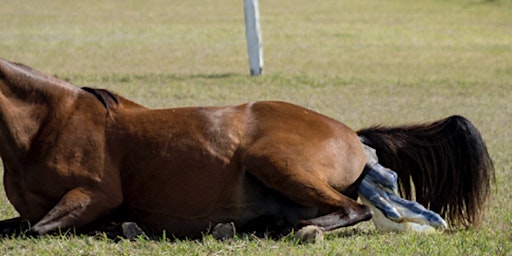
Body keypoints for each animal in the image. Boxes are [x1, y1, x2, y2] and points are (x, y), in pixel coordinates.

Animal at [0, 58, 494, 242]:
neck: (49, 123)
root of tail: (352, 135)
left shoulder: (93, 196)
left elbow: (36, 229)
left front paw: (124, 227)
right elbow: (21, 225)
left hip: (273, 161)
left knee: (351, 208)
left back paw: (297, 230)